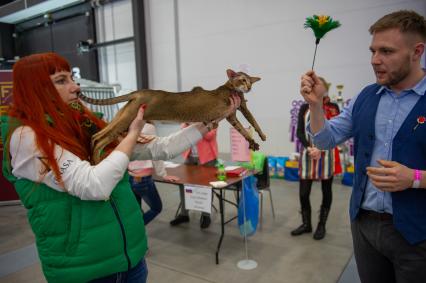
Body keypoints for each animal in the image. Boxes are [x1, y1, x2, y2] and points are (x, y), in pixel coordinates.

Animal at [78, 68, 266, 164]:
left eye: (250, 81)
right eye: (242, 79)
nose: (249, 87)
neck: (230, 87)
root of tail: (140, 91)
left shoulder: (233, 114)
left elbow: (243, 128)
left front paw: (253, 142)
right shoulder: (236, 110)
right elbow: (253, 122)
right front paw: (261, 136)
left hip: (123, 114)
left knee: (97, 135)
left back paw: (93, 159)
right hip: (128, 119)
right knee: (101, 139)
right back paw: (96, 160)